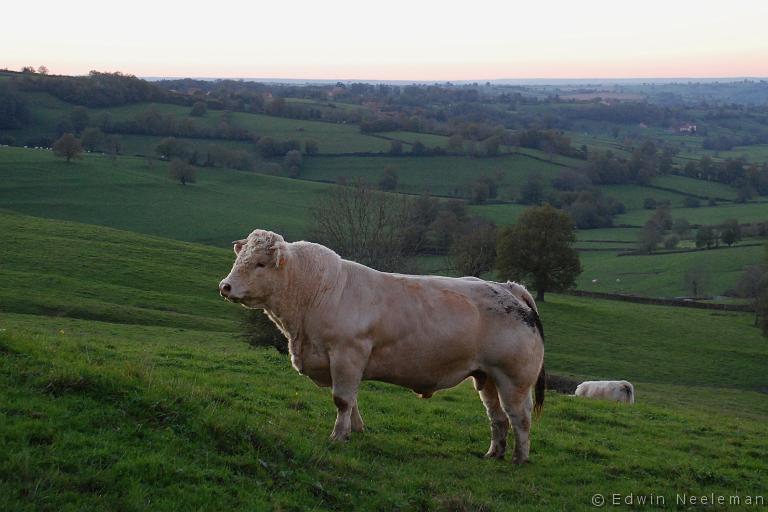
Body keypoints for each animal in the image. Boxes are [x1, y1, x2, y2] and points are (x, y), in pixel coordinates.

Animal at [219, 230, 548, 462]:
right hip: (487, 377)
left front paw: (338, 436)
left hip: (514, 379)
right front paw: (355, 430)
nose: (225, 286)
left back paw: (519, 458)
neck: (315, 292)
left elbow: (342, 400)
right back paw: (494, 453)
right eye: (239, 260)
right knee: (497, 417)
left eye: (260, 264)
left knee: (519, 416)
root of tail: (508, 287)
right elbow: (352, 400)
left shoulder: (347, 354)